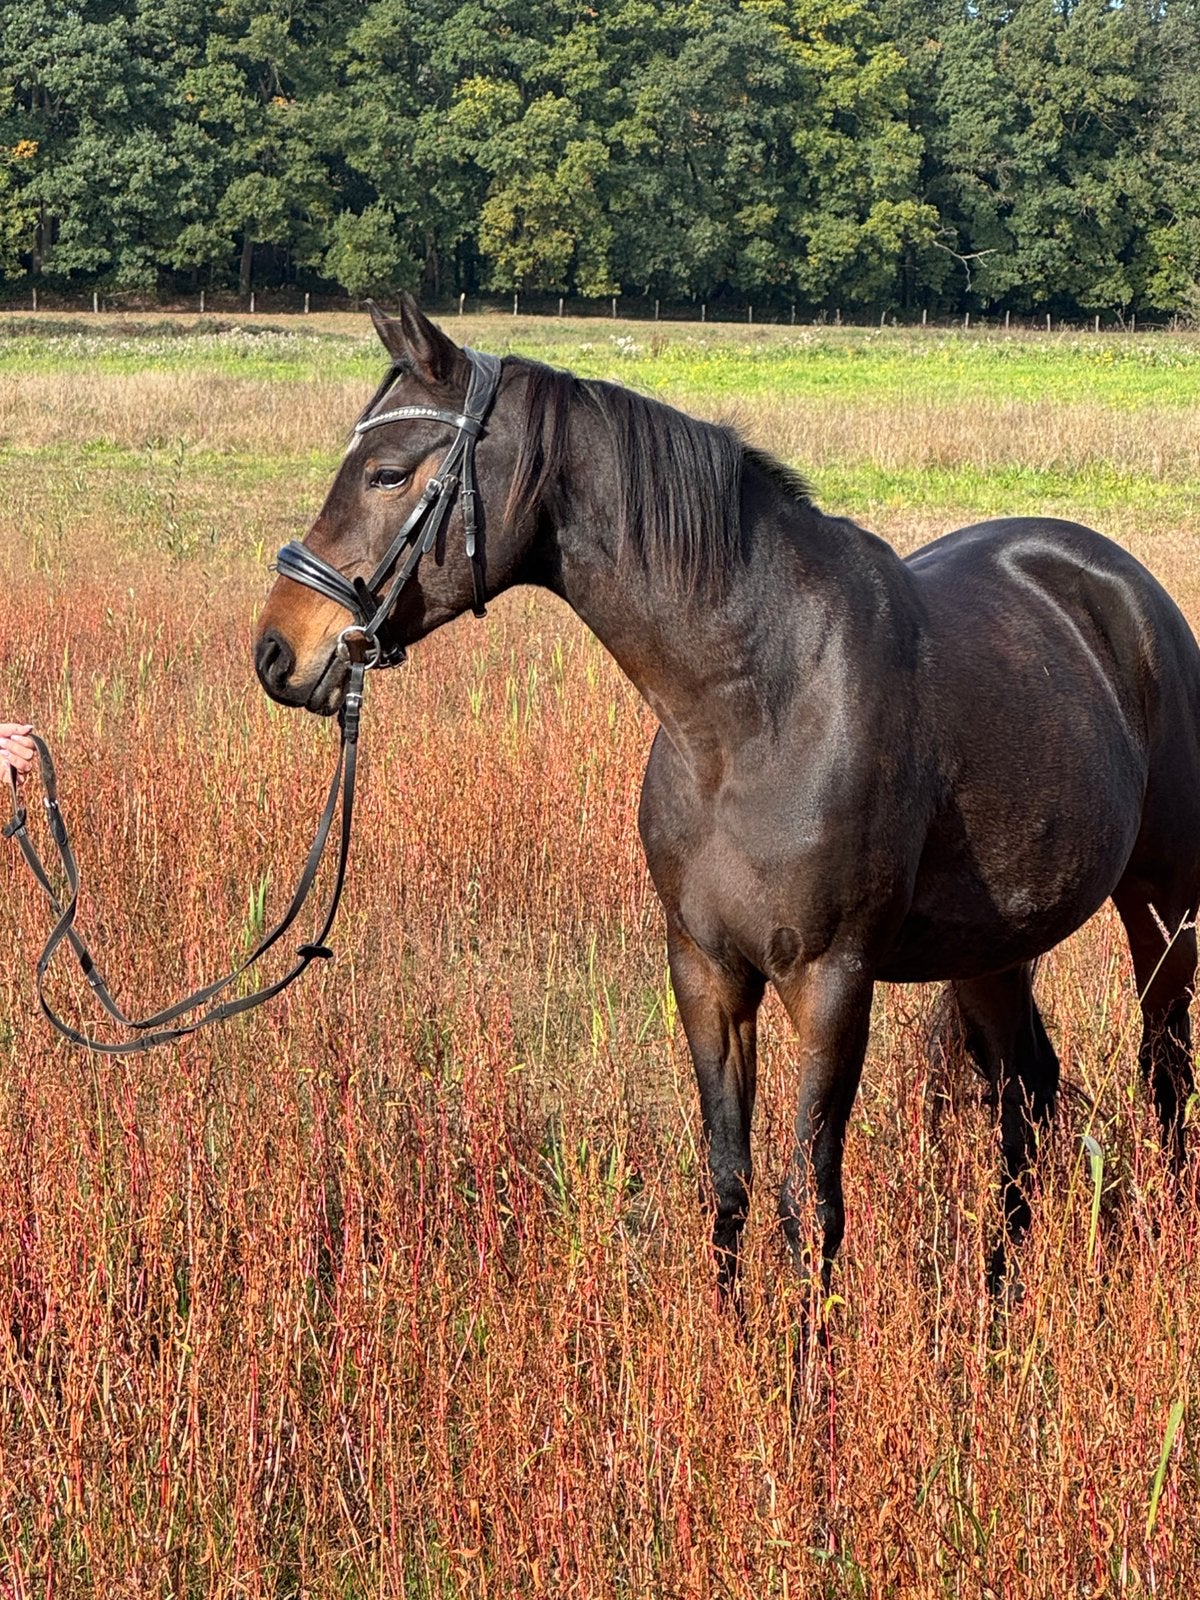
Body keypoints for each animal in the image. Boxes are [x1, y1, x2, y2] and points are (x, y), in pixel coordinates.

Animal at [254, 295, 1200, 1301]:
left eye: (389, 473)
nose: (279, 649)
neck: (751, 710)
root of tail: (1123, 590)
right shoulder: (706, 971)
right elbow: (729, 1178)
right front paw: (731, 1331)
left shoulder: (831, 981)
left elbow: (810, 1200)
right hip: (993, 950)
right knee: (1023, 1095)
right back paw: (997, 1296)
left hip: (1162, 910)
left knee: (1165, 1072)